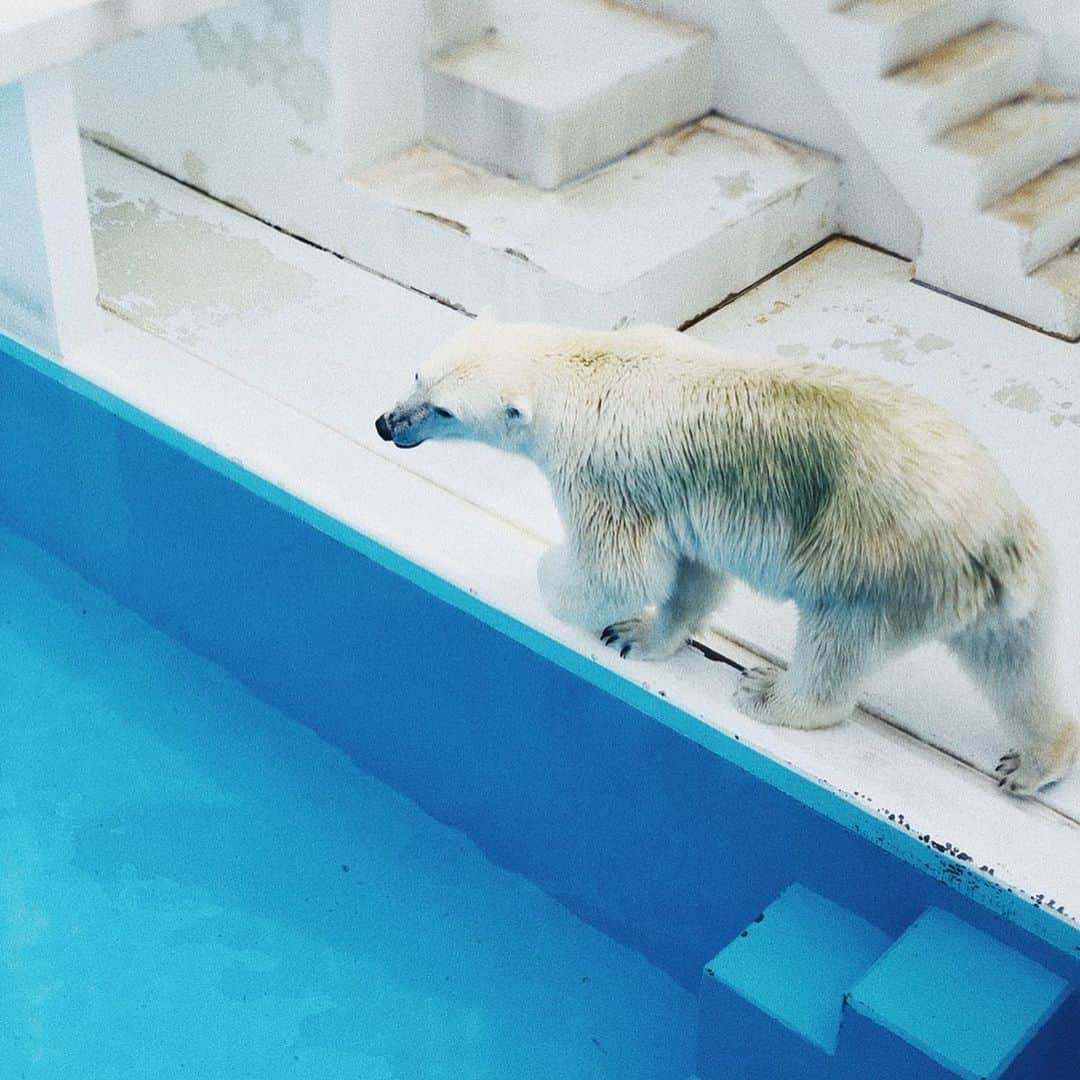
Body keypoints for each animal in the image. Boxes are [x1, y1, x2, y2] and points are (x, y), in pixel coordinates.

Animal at [375, 315, 1075, 794]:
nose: (386, 424)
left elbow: (619, 568)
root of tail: (992, 539)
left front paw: (560, 579)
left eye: (443, 409)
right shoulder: (684, 497)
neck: (588, 368)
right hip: (998, 576)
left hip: (869, 556)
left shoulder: (603, 471)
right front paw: (640, 637)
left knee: (839, 636)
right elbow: (694, 574)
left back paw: (770, 693)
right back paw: (1033, 760)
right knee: (1015, 660)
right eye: (417, 373)